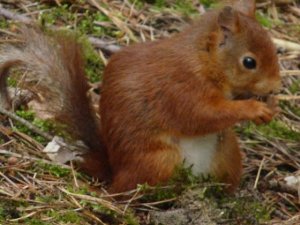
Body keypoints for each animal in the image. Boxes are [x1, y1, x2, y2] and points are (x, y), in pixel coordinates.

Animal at [0, 0, 282, 193]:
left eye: (275, 48)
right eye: (249, 62)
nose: (276, 87)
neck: (204, 61)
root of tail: (114, 173)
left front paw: (269, 108)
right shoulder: (180, 89)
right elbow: (201, 116)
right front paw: (253, 109)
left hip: (227, 154)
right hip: (159, 160)